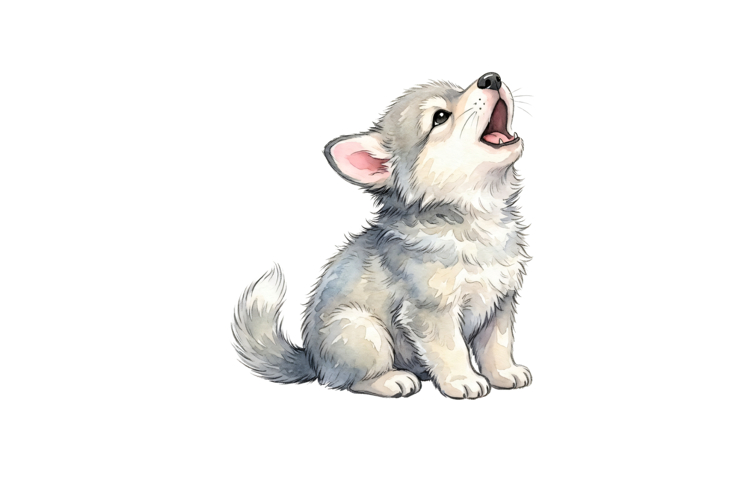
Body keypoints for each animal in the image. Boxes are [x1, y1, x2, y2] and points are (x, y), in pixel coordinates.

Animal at [232, 72, 532, 399]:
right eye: (440, 117)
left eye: (458, 90)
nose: (491, 78)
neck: (476, 218)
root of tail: (312, 360)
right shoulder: (430, 312)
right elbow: (451, 349)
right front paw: (462, 380)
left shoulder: (500, 304)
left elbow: (497, 346)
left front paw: (504, 373)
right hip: (363, 331)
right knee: (349, 381)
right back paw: (393, 380)